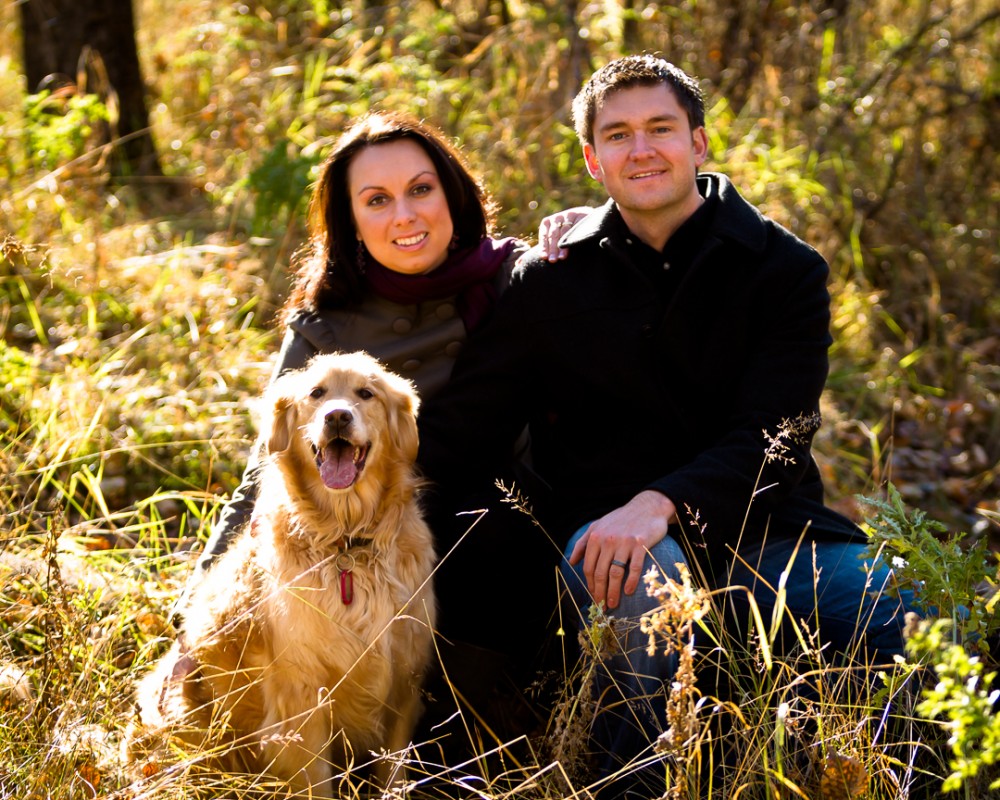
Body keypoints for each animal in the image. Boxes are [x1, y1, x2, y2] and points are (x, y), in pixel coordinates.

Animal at [130, 354, 438, 796]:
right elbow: (316, 782)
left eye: (366, 393)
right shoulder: (300, 699)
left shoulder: (403, 681)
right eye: (316, 393)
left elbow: (394, 772)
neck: (346, 544)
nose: (338, 416)